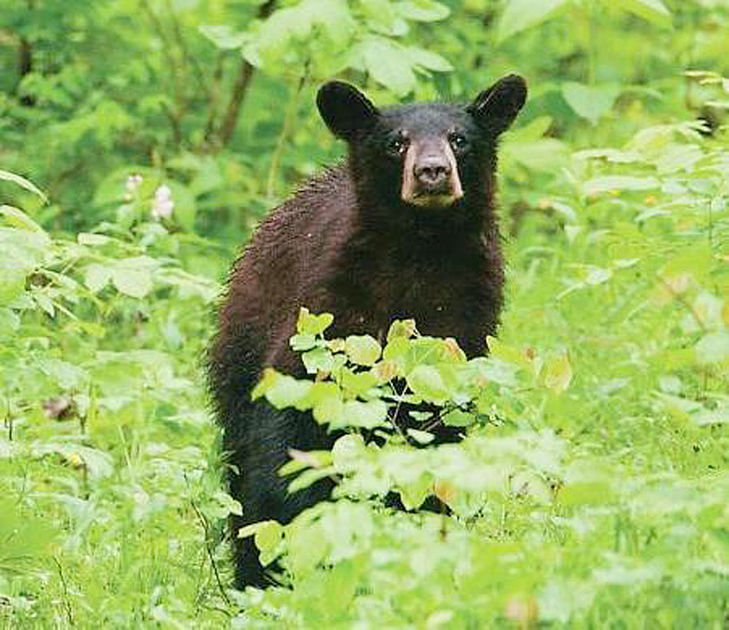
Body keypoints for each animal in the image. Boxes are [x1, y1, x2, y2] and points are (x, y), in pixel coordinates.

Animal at [207, 74, 527, 588]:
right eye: (397, 143)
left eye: (459, 139)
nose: (433, 171)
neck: (420, 250)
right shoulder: (330, 311)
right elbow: (289, 418)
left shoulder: (463, 323)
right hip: (240, 346)